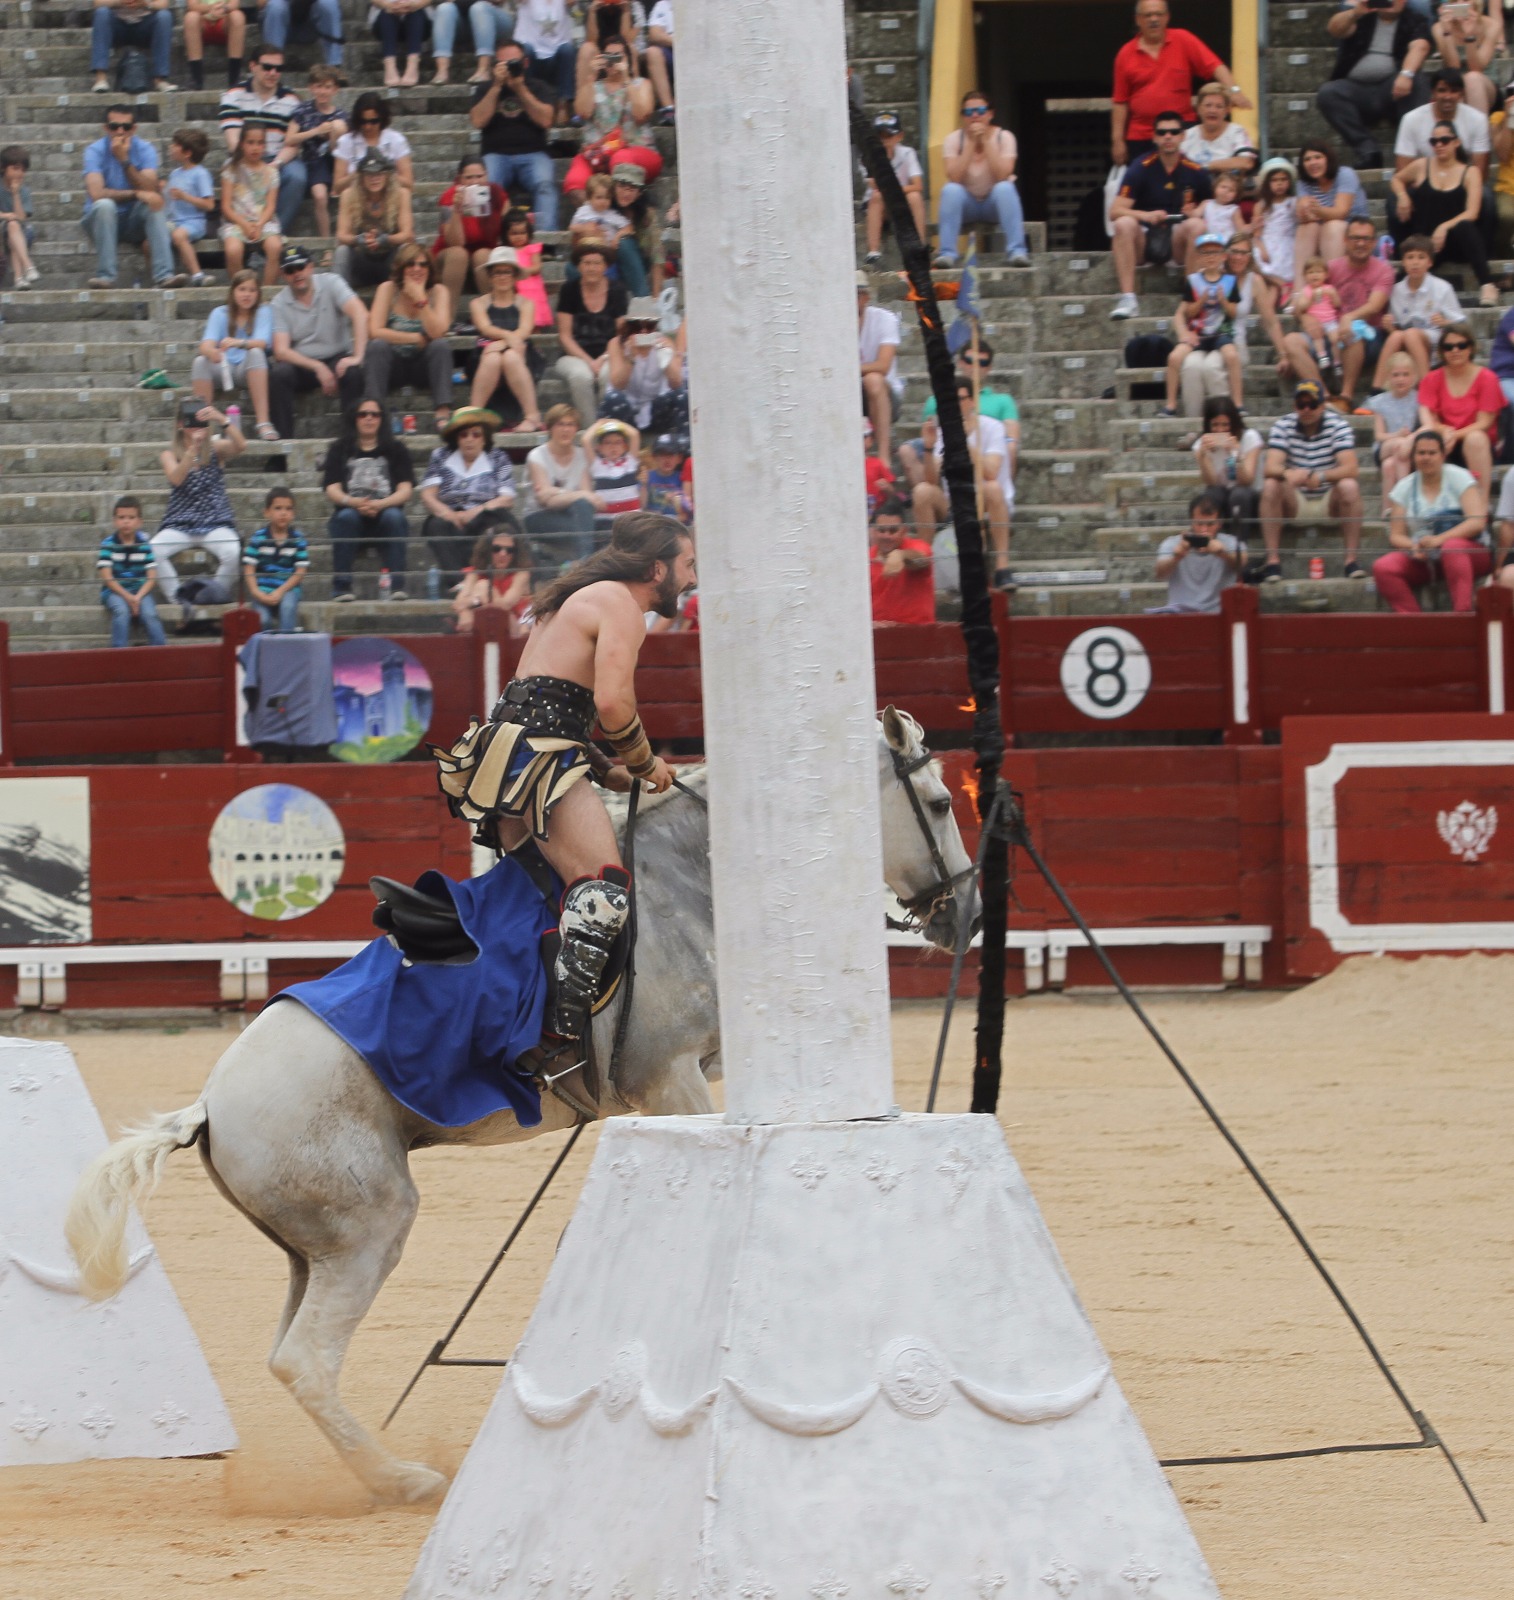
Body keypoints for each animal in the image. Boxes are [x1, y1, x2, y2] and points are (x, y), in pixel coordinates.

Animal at [68, 713, 966, 1497]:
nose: (969, 912)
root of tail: (206, 1109)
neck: (685, 882)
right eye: (941, 801)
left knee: (287, 1354)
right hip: (369, 1229)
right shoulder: (670, 1076)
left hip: (308, 1250)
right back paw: (403, 1480)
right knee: (307, 1361)